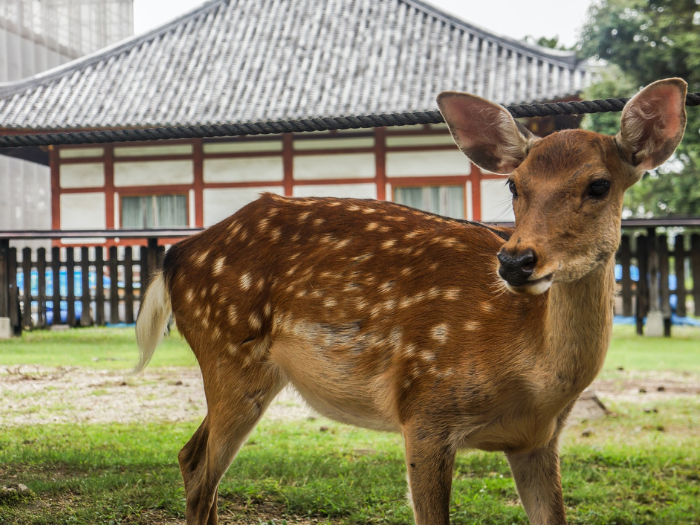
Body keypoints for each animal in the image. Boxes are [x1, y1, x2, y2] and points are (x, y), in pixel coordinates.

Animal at [134, 79, 688, 524]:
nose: (515, 261)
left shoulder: (541, 439)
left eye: (599, 184)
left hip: (252, 370)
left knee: (191, 458)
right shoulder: (425, 406)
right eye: (515, 184)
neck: (533, 378)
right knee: (200, 471)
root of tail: (178, 254)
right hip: (229, 354)